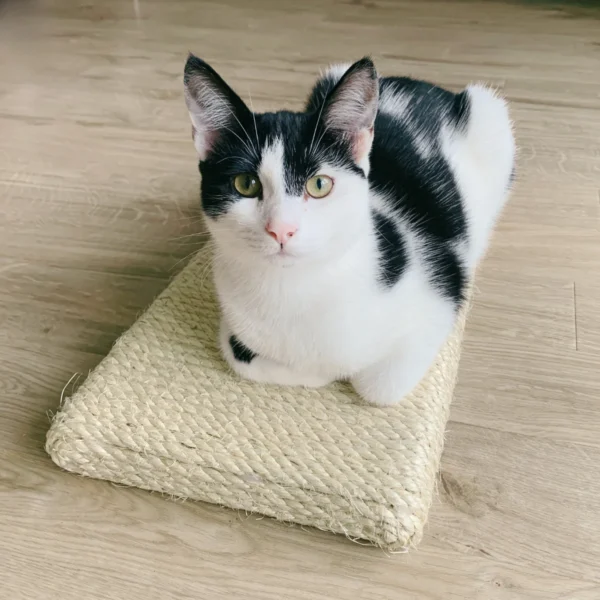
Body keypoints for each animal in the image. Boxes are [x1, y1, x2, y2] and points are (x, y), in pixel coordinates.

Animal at [184, 54, 516, 406]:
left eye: (319, 185)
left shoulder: (441, 292)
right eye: (245, 184)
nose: (281, 230)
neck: (293, 289)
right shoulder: (234, 327)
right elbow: (240, 355)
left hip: (491, 118)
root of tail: (418, 83)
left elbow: (378, 387)